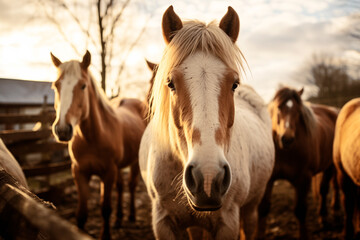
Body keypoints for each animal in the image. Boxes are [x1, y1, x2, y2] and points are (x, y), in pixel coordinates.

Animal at [50, 50, 147, 240]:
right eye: (56, 86)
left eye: (83, 86)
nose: (63, 130)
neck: (92, 138)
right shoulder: (79, 172)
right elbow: (81, 214)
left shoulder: (107, 173)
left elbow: (105, 208)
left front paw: (106, 234)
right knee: (121, 187)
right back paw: (119, 219)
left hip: (133, 163)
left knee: (131, 186)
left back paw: (131, 216)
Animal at [139, 5, 274, 240]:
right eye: (170, 83)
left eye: (234, 83)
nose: (209, 178)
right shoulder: (163, 222)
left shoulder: (228, 222)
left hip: (252, 205)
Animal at [258, 86, 340, 240]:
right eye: (278, 108)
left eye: (298, 111)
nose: (287, 139)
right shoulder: (269, 179)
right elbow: (263, 208)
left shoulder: (303, 179)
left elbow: (300, 211)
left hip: (330, 167)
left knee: (326, 189)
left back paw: (327, 217)